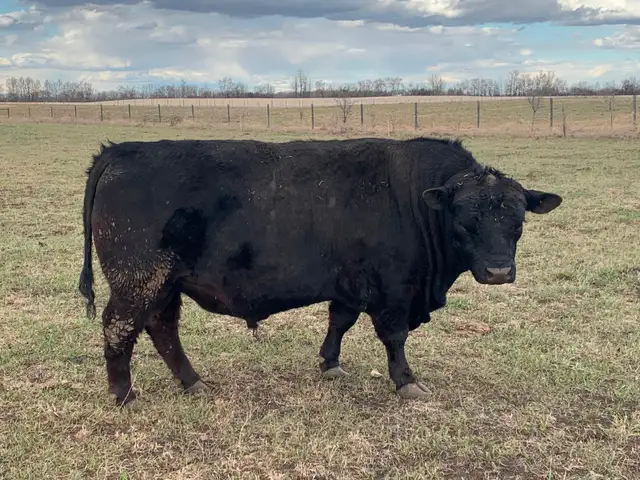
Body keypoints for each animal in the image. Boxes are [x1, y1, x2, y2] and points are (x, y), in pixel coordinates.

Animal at [78, 136, 562, 406]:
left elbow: (339, 321)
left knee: (162, 328)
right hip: (139, 279)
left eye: (517, 219)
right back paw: (123, 395)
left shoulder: (348, 284)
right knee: (119, 327)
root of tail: (121, 151)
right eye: (465, 219)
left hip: (165, 283)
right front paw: (406, 382)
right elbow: (394, 338)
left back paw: (193, 383)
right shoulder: (394, 290)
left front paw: (330, 364)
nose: (498, 271)